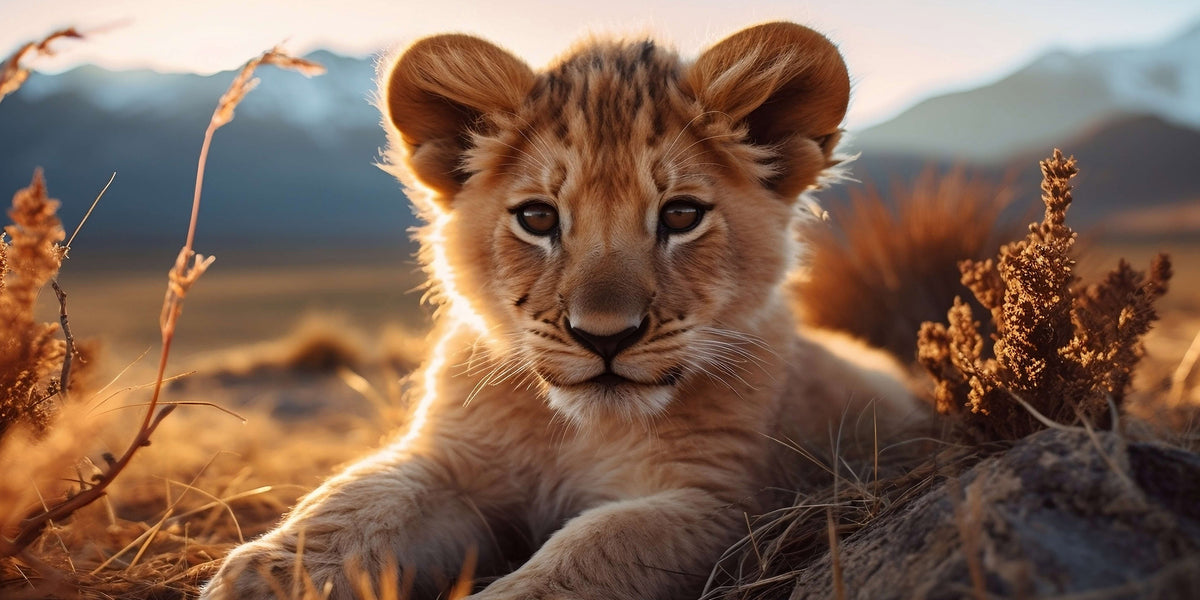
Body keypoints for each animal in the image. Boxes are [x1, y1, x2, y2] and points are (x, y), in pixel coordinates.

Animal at [201, 22, 919, 600]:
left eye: (681, 215)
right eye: (538, 218)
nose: (605, 338)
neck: (578, 430)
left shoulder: (715, 500)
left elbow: (590, 552)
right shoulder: (452, 460)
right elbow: (357, 500)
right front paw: (258, 576)